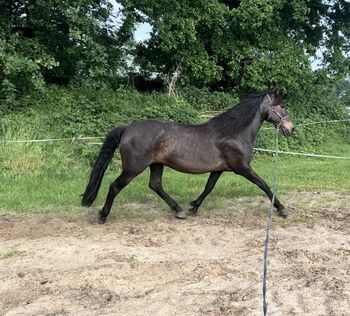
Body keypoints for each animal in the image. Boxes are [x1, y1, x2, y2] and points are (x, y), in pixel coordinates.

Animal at [81, 88, 292, 222]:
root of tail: (128, 129)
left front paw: (193, 207)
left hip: (156, 164)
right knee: (115, 186)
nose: (290, 128)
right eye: (282, 107)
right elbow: (264, 185)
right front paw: (282, 209)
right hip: (133, 168)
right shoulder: (242, 168)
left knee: (155, 185)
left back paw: (179, 210)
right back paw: (103, 216)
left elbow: (208, 188)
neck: (233, 133)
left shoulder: (219, 169)